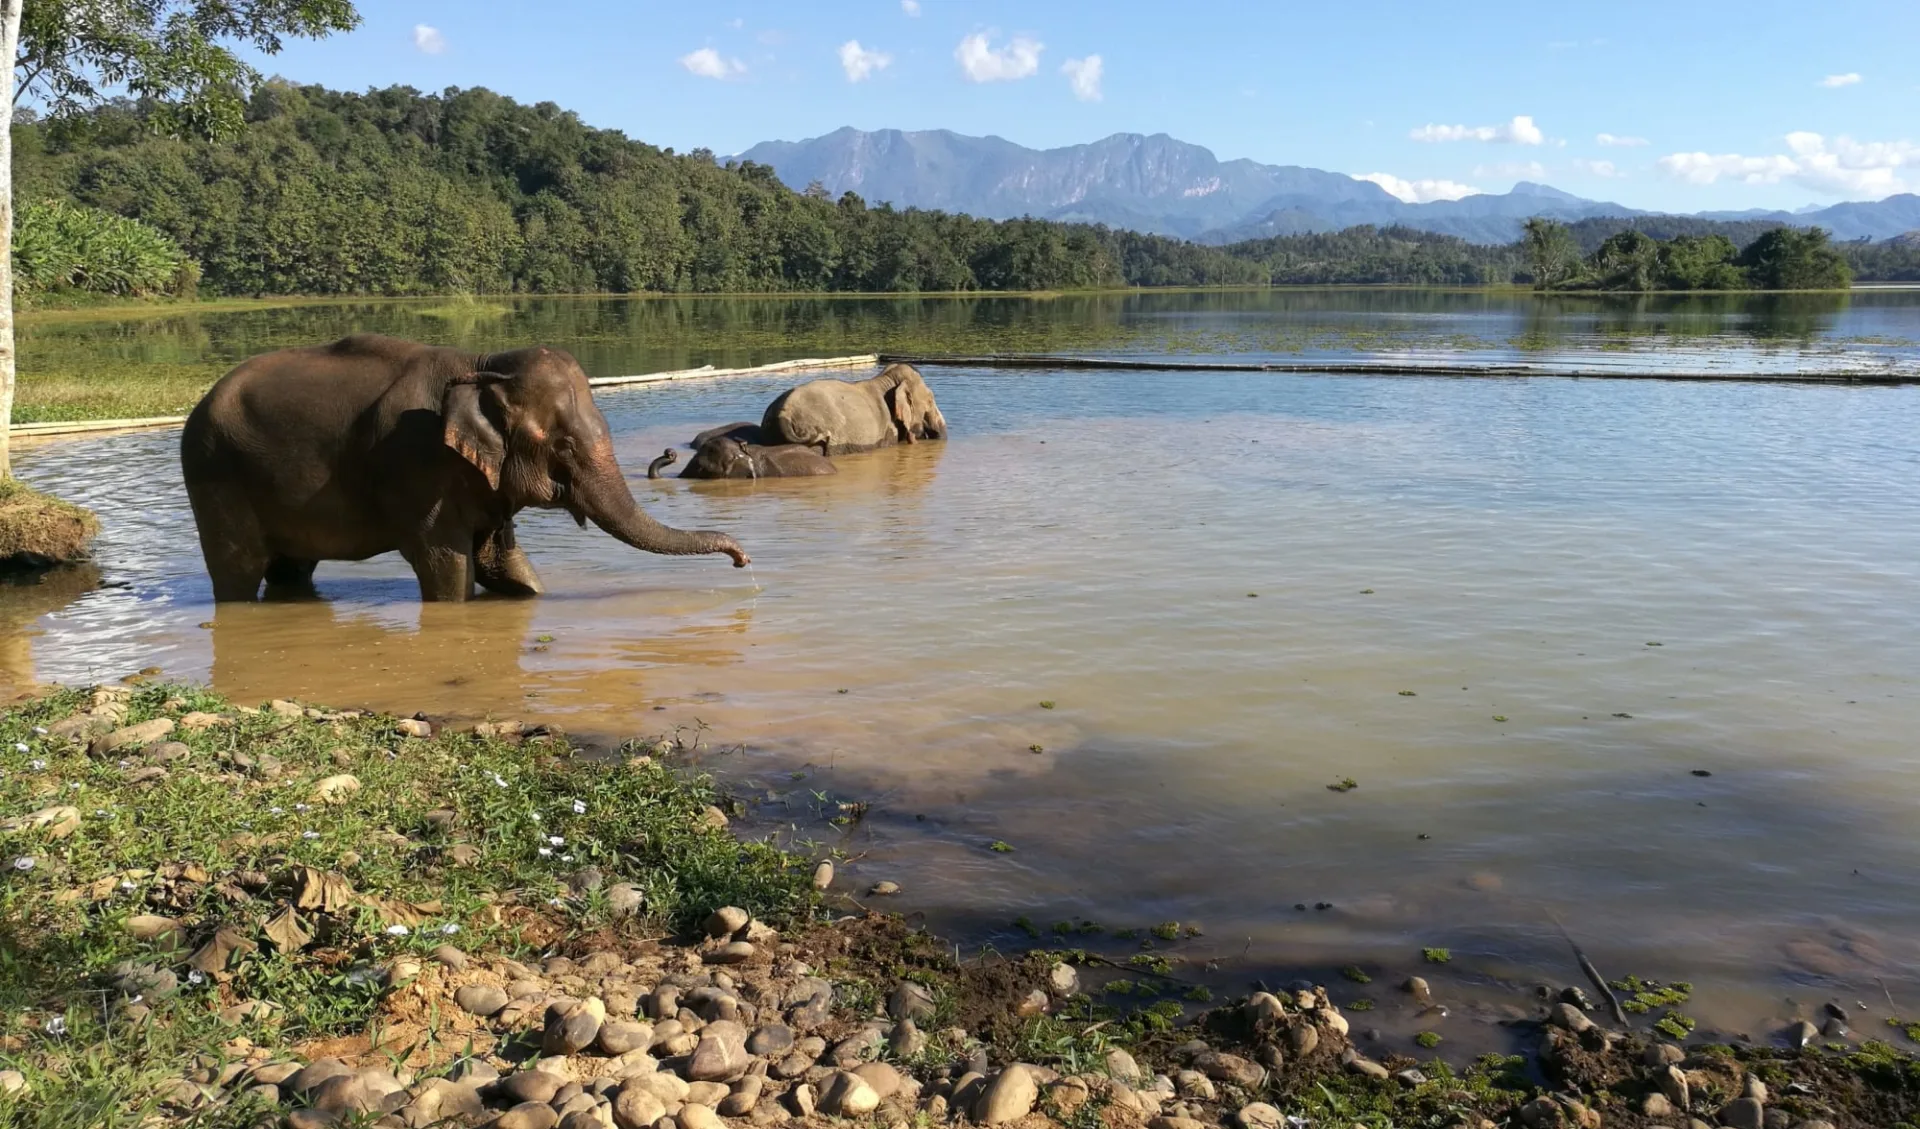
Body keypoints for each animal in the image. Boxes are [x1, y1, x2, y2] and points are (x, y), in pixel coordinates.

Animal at [180, 334, 748, 603]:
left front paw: (527, 591)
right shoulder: (416, 466)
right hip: (214, 475)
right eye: (563, 446)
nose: (743, 560)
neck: (483, 364)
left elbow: (504, 563)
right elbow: (448, 569)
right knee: (237, 568)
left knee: (291, 569)